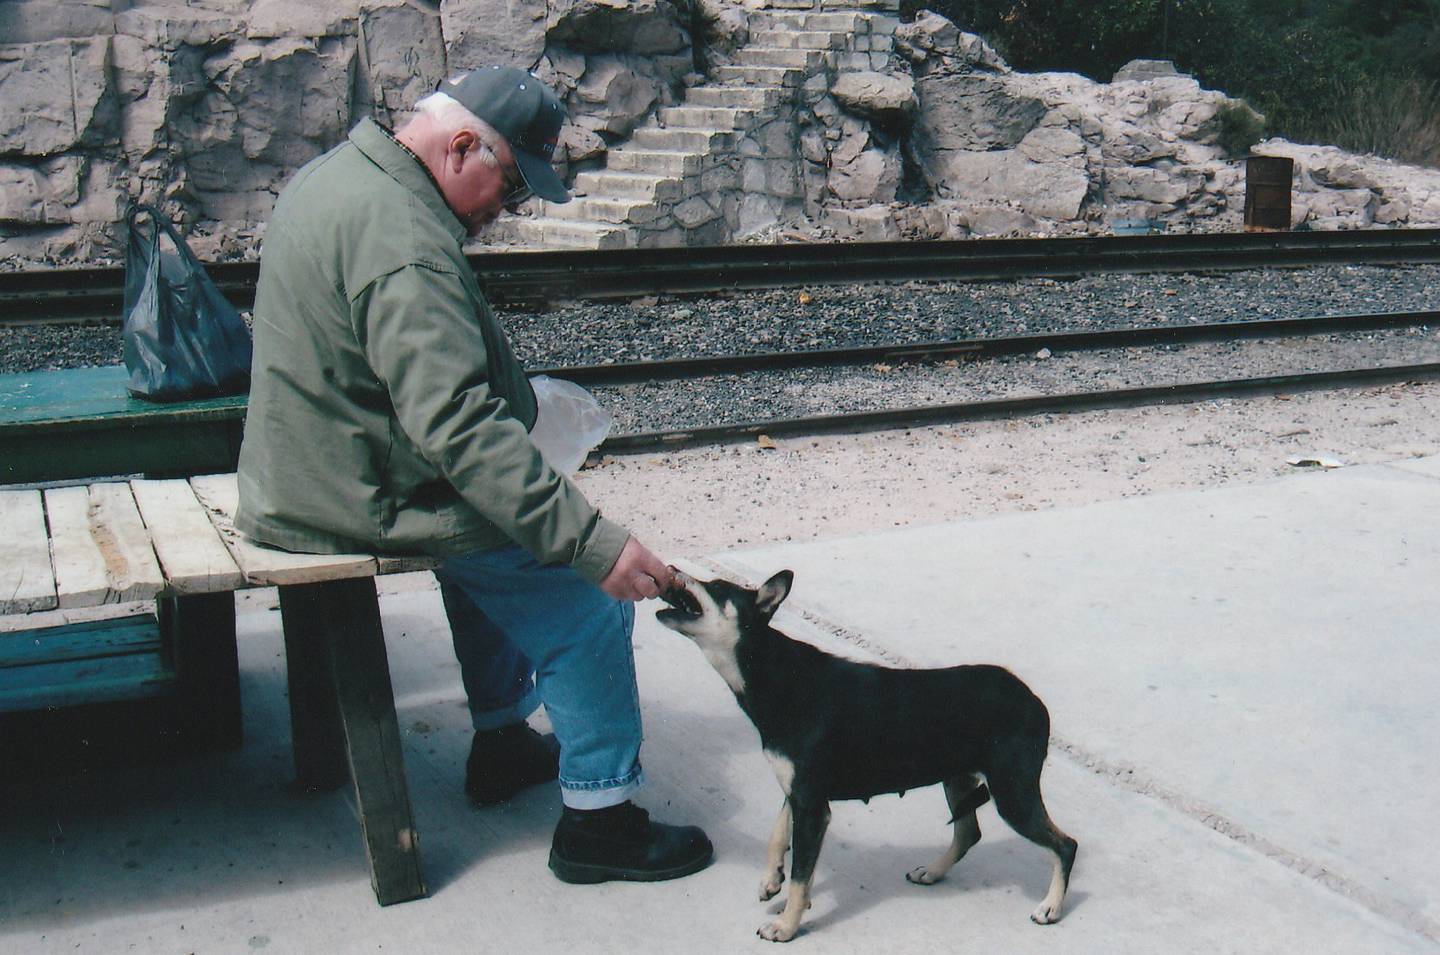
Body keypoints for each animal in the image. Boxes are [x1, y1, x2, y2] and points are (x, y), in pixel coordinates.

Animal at [659, 567, 1077, 939]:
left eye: (716, 587)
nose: (673, 567)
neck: (775, 675)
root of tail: (1035, 701)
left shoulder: (811, 804)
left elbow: (801, 874)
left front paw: (787, 926)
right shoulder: (799, 792)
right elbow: (779, 835)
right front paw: (771, 879)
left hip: (1012, 792)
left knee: (1065, 845)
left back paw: (1050, 907)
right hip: (958, 779)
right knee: (968, 833)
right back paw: (933, 872)